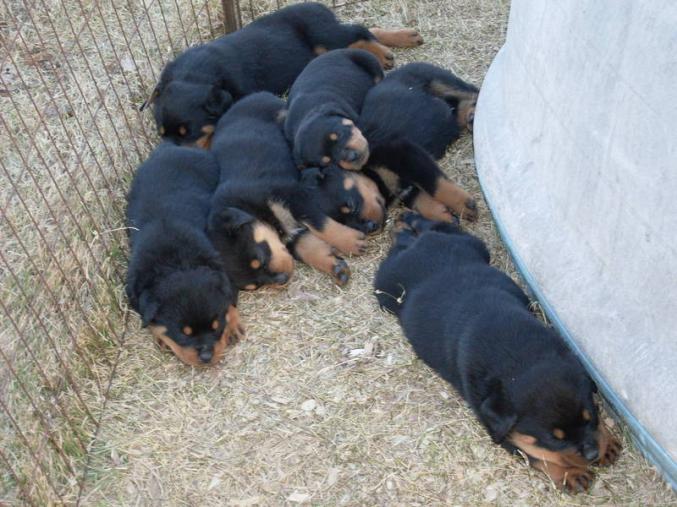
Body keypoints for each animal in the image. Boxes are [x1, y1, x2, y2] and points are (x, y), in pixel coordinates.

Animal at [125, 143, 244, 366]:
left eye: (216, 327)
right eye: (183, 333)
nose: (206, 357)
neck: (177, 262)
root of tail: (173, 146)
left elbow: (228, 300)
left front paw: (232, 325)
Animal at [143, 3, 422, 147]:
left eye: (187, 133)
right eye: (161, 134)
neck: (194, 74)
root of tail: (321, 6)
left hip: (324, 35)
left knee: (359, 32)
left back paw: (384, 52)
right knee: (362, 31)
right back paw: (405, 37)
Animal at [209, 91, 382, 286]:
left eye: (260, 258)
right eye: (255, 285)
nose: (282, 280)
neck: (247, 207)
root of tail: (250, 96)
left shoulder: (293, 197)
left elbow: (322, 224)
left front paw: (350, 242)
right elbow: (306, 246)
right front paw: (335, 266)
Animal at [360, 61, 480, 222]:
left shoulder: (403, 151)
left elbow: (435, 184)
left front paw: (465, 205)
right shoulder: (404, 187)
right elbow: (421, 201)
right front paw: (446, 217)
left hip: (441, 81)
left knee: (474, 92)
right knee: (463, 107)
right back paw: (470, 117)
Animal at [372, 214, 620, 492]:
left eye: (591, 416)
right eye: (554, 439)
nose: (592, 455)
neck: (523, 356)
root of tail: (418, 243)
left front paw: (607, 442)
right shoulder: (492, 424)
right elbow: (534, 455)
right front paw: (571, 474)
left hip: (471, 243)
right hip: (386, 287)